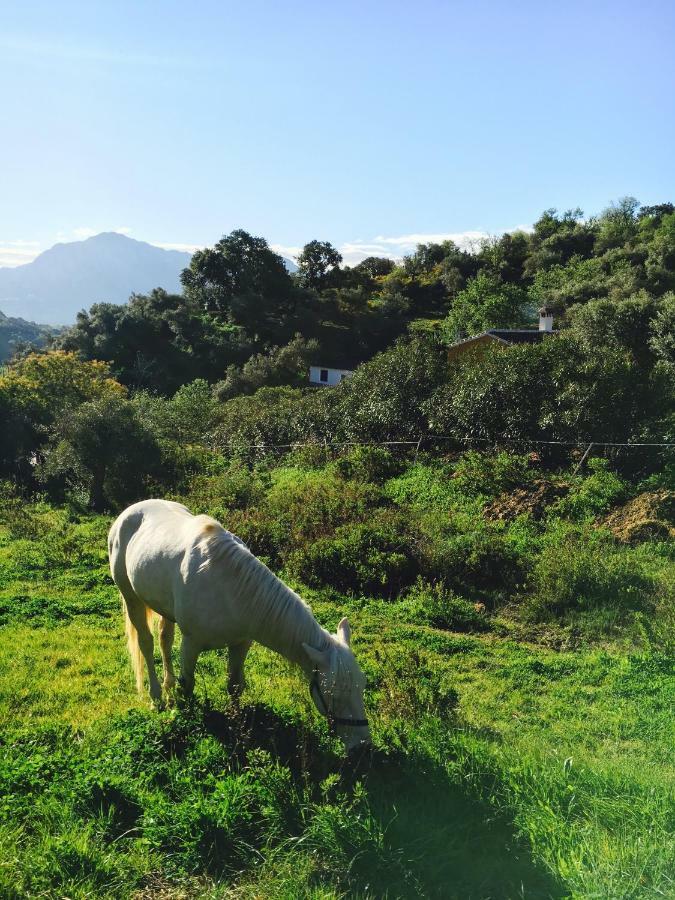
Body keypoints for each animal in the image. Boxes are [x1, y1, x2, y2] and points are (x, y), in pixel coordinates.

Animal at [107, 500, 370, 752]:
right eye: (335, 692)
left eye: (362, 686)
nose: (362, 746)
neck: (231, 590)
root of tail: (131, 510)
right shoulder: (191, 644)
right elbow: (188, 686)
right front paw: (186, 718)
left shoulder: (241, 643)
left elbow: (234, 685)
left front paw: (237, 723)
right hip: (131, 598)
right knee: (147, 643)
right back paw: (156, 697)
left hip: (163, 607)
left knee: (164, 639)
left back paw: (167, 685)